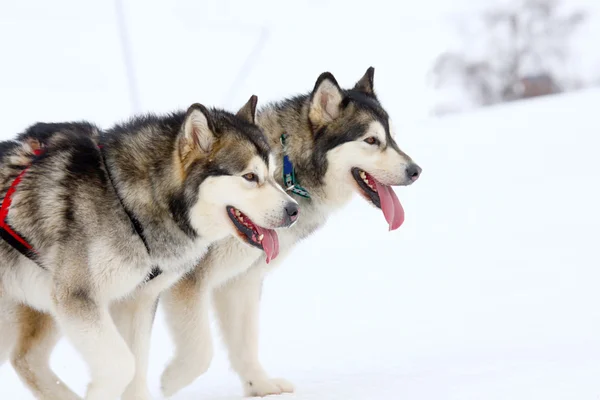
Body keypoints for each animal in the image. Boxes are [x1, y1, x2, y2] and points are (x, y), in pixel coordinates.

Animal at [0, 97, 298, 400]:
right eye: (249, 176)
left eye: (272, 173)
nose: (293, 210)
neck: (126, 203)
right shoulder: (78, 297)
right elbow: (123, 365)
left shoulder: (137, 301)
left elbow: (137, 368)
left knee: (26, 359)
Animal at [157, 67, 424, 396]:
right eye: (371, 140)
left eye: (392, 138)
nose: (415, 171)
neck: (287, 171)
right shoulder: (187, 283)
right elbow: (199, 351)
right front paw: (168, 383)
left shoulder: (240, 281)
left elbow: (245, 342)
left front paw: (259, 386)